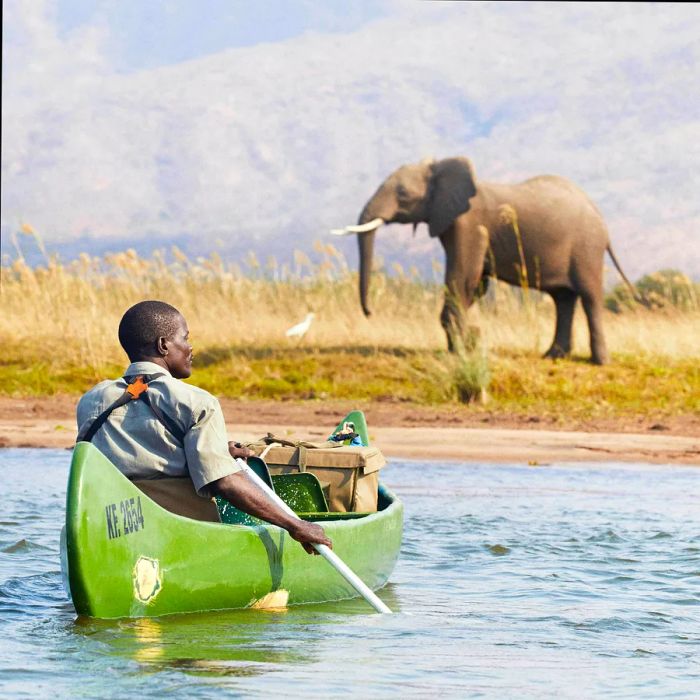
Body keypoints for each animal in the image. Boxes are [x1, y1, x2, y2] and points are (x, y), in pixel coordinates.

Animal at [330, 157, 636, 366]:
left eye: (403, 194)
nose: (369, 312)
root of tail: (601, 219)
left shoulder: (470, 225)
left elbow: (463, 277)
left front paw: (459, 351)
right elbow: (474, 285)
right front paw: (465, 345)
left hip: (587, 248)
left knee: (589, 297)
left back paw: (599, 362)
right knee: (563, 299)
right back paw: (552, 356)